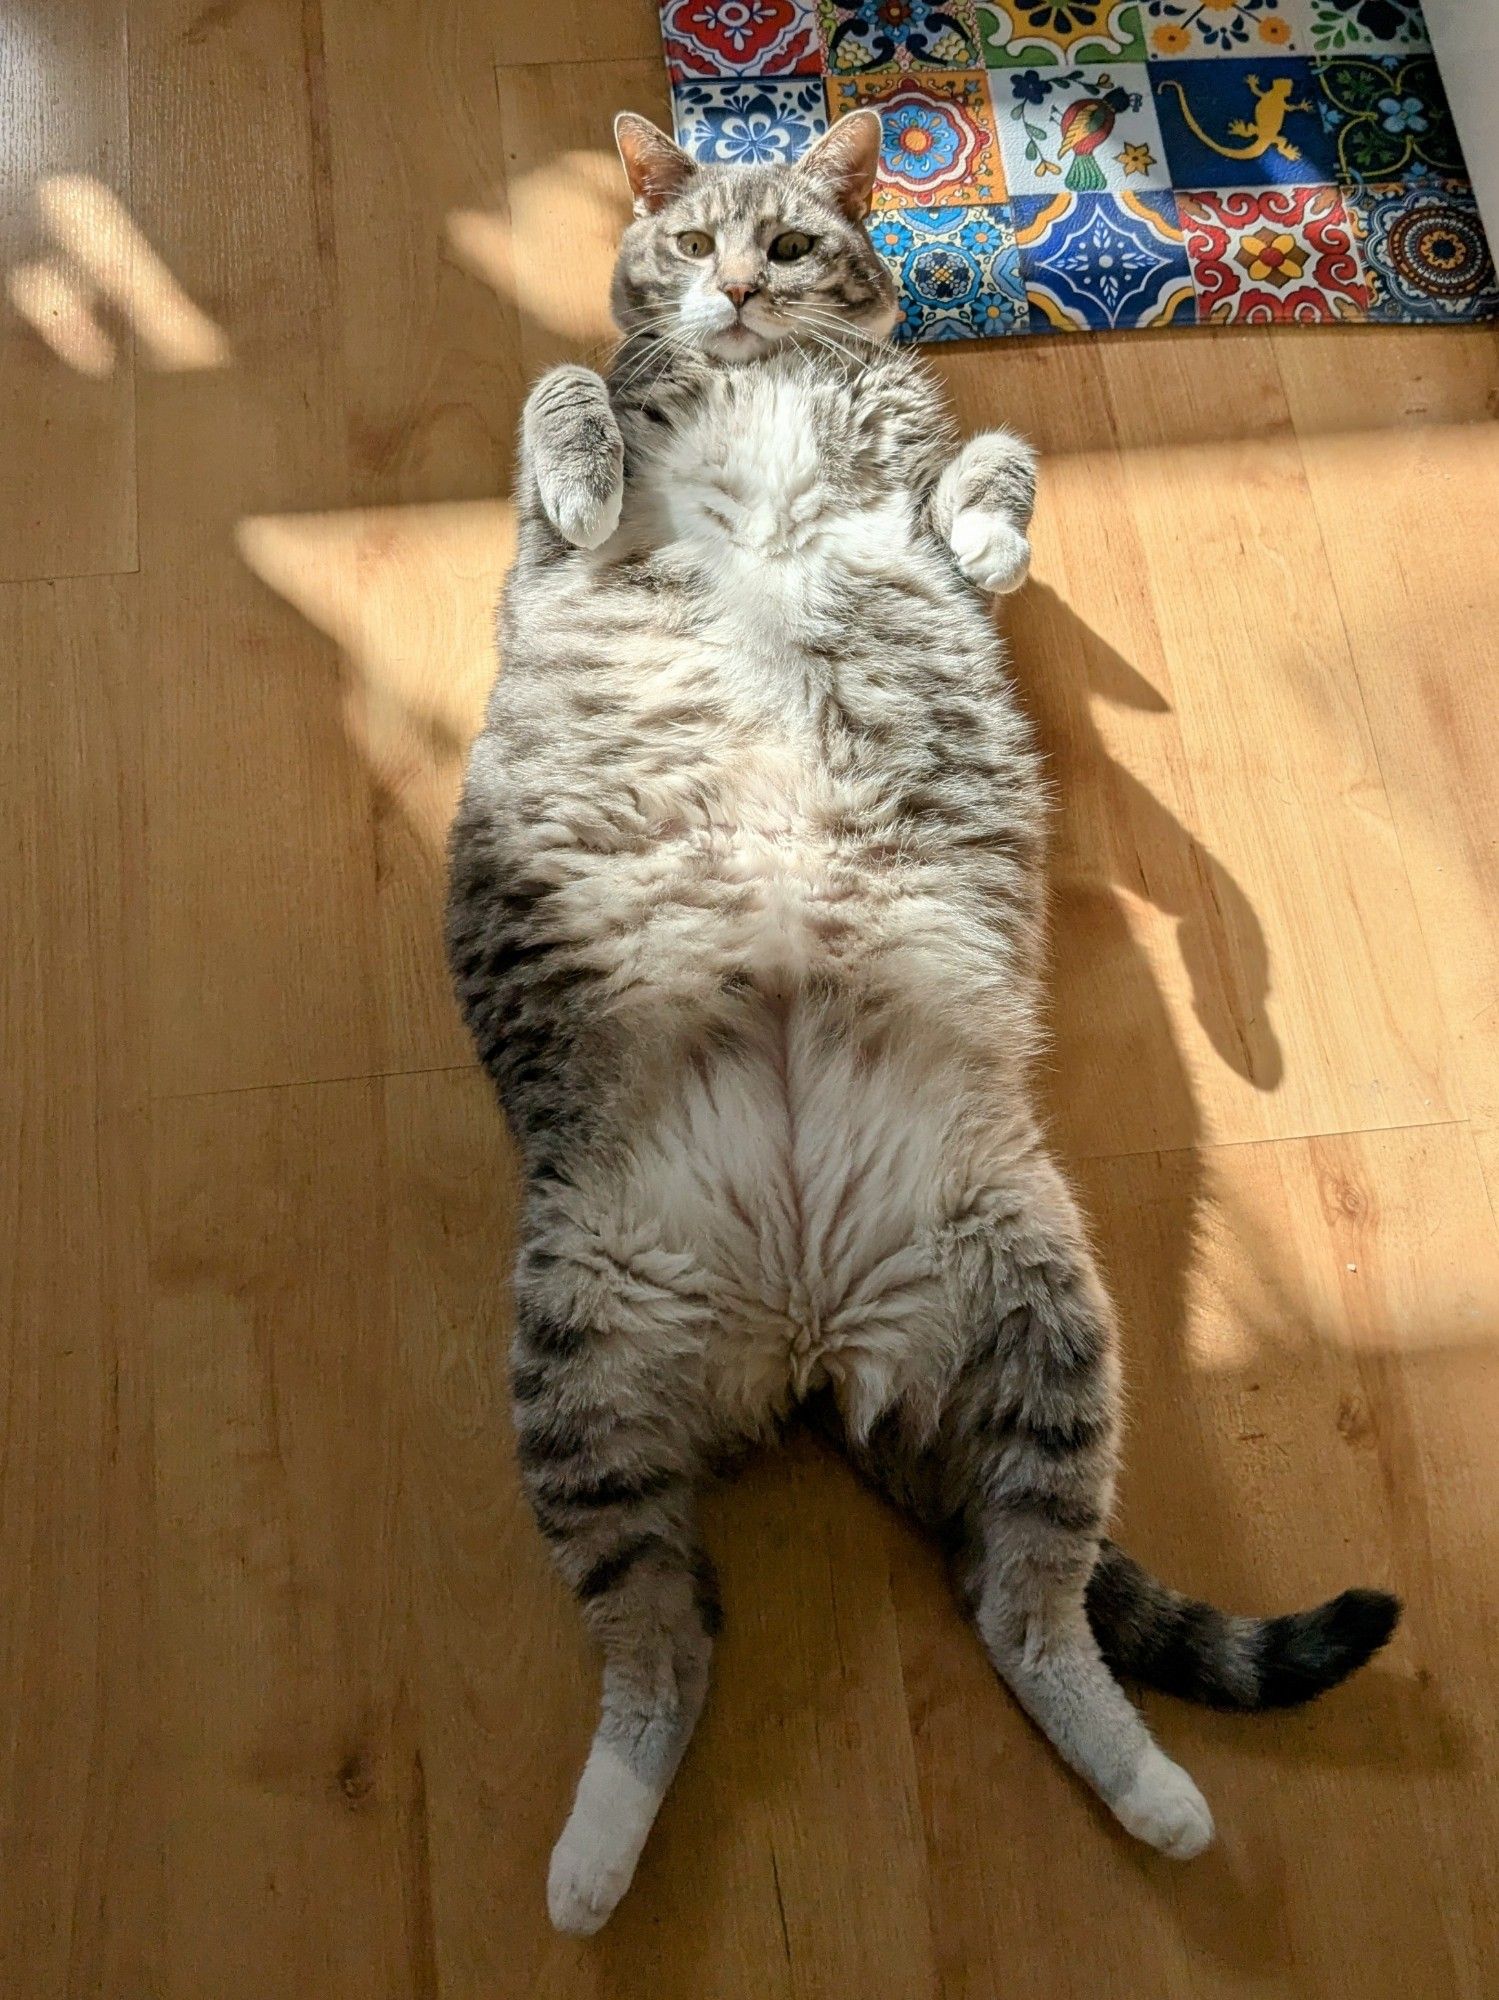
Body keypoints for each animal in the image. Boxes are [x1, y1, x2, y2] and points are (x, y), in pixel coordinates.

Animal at [443, 113, 1399, 1936]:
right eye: (692, 243)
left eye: (793, 245)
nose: (741, 291)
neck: (757, 387)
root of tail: (811, 1334)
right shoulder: (544, 527)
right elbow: (557, 391)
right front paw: (595, 463)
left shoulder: (917, 464)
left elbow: (994, 459)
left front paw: (996, 533)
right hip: (581, 1360)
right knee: (665, 1640)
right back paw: (591, 1863)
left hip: (1039, 1320)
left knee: (1020, 1606)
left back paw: (1154, 1795)